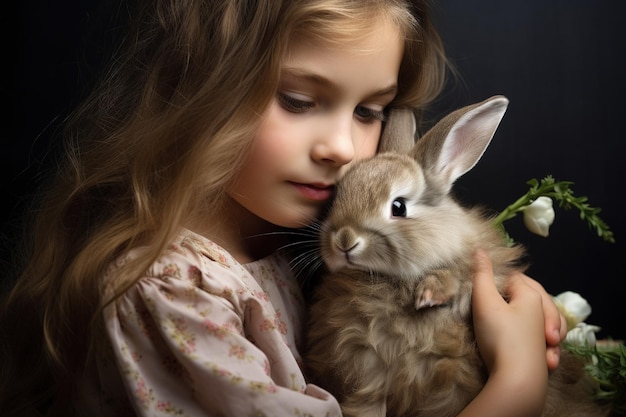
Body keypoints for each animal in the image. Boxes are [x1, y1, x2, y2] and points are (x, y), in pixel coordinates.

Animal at [304, 95, 608, 416]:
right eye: (337, 196)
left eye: (398, 207)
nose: (344, 240)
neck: (386, 279)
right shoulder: (364, 377)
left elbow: (457, 277)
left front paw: (428, 294)